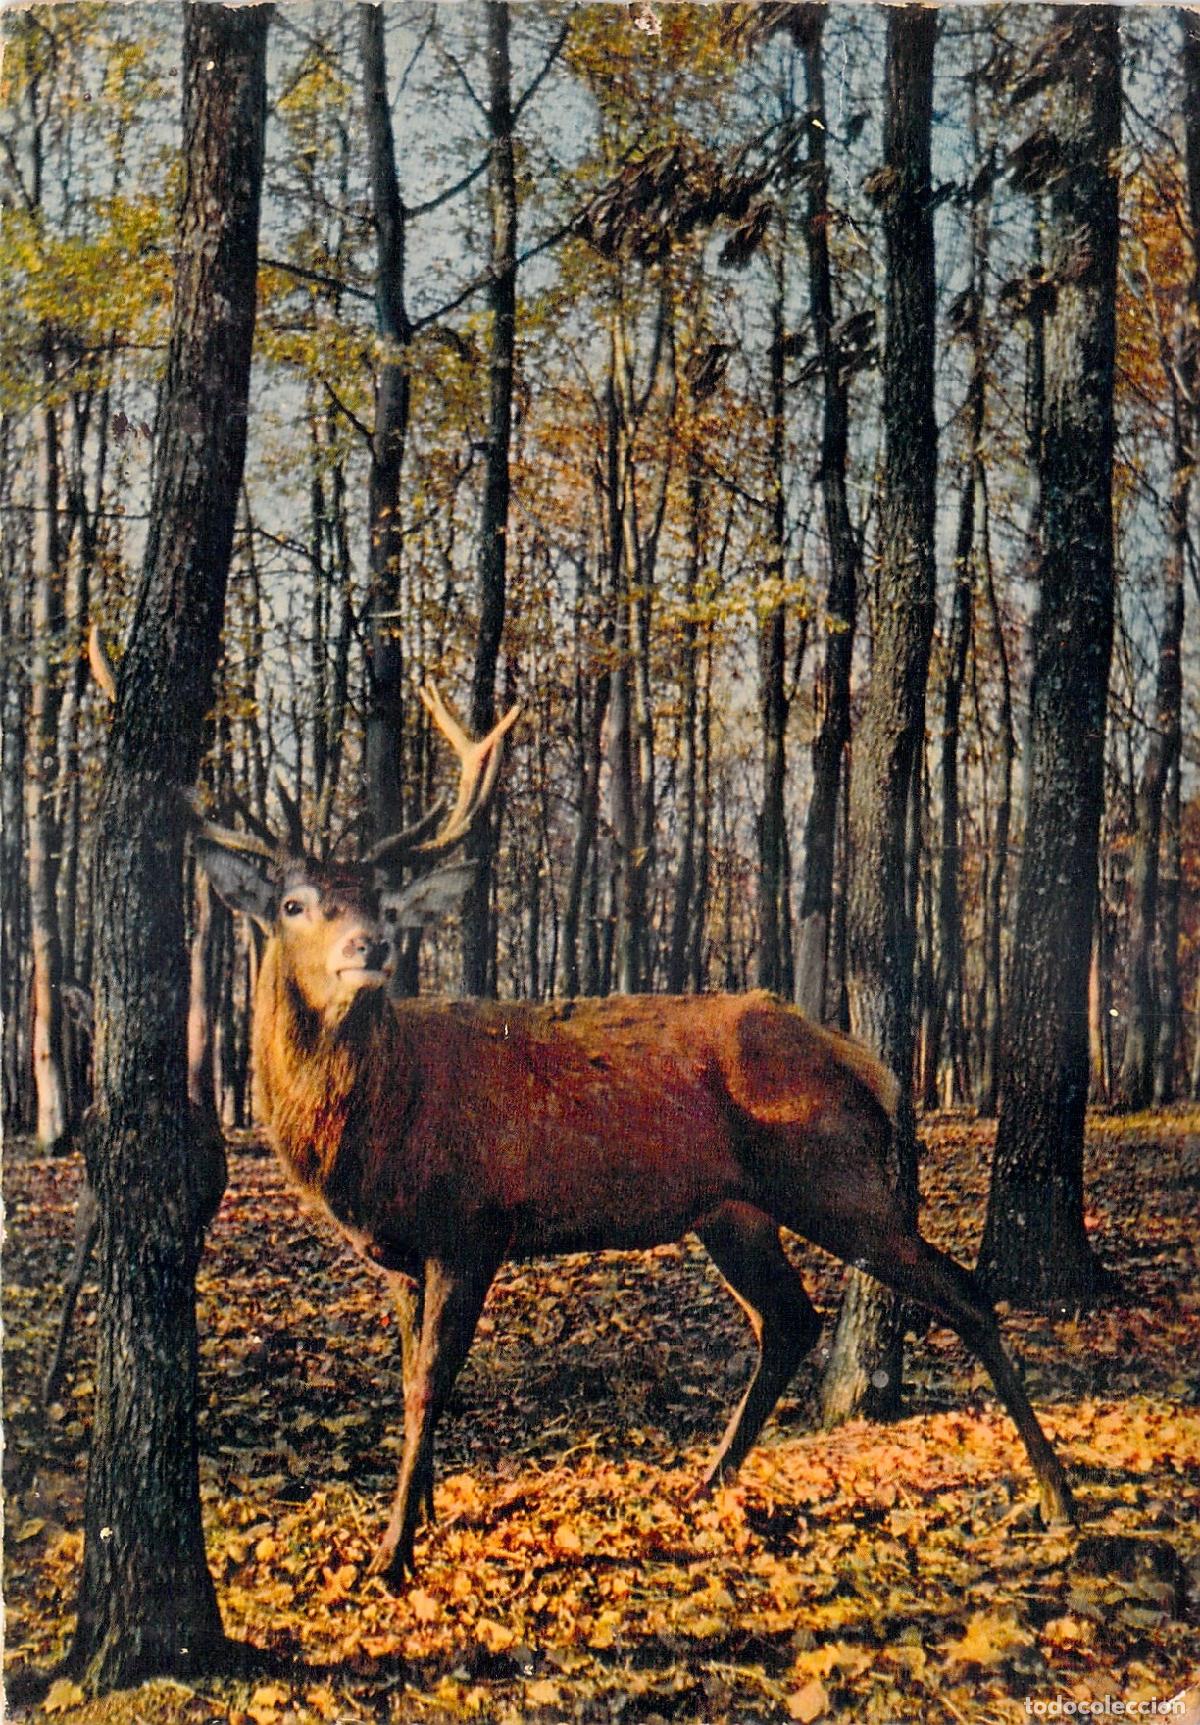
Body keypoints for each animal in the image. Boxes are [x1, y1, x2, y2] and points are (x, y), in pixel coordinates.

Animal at [195, 683, 1075, 1588]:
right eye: (293, 903)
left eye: (382, 901)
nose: (370, 946)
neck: (381, 1129)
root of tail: (870, 1063)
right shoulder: (400, 1253)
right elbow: (406, 1374)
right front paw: (424, 1514)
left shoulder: (474, 1226)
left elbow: (430, 1382)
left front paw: (393, 1552)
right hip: (734, 1212)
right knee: (790, 1318)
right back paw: (708, 1480)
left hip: (838, 1182)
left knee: (962, 1292)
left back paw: (1056, 1495)